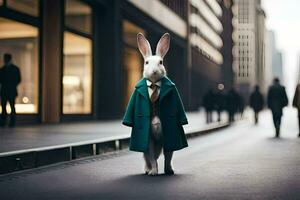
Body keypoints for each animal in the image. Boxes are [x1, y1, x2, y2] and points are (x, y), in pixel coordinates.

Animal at [136, 32, 173, 175]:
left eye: (161, 62)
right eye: (146, 62)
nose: (154, 71)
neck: (153, 83)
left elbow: (168, 156)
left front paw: (169, 170)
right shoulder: (149, 141)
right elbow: (151, 158)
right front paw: (153, 172)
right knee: (149, 157)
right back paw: (149, 170)